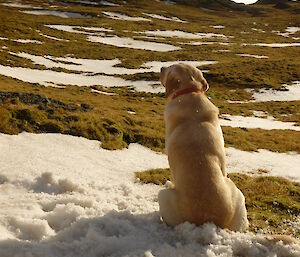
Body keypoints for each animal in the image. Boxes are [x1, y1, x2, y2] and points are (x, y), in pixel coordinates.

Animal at [159, 63, 248, 230]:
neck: (191, 91)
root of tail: (209, 221)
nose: (161, 67)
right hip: (238, 194)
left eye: (170, 68)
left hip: (163, 197)